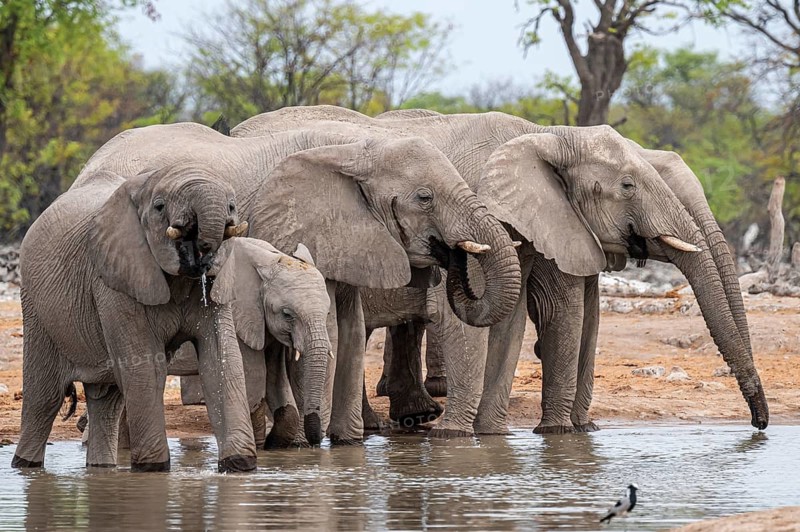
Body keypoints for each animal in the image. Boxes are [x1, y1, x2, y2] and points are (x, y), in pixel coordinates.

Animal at [13, 166, 257, 473]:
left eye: (232, 206)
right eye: (159, 206)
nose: (201, 249)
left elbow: (221, 362)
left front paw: (239, 465)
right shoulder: (114, 280)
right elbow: (145, 367)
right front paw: (153, 469)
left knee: (106, 399)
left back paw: (101, 469)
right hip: (37, 309)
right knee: (44, 398)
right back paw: (25, 465)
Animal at [76, 122, 522, 444]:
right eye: (424, 197)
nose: (451, 256)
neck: (361, 149)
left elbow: (351, 329)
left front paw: (347, 442)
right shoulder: (302, 229)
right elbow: (329, 331)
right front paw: (316, 440)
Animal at [229, 105, 769, 436]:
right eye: (629, 186)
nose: (761, 426)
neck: (547, 137)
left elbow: (547, 316)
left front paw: (515, 434)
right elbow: (538, 313)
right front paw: (467, 439)